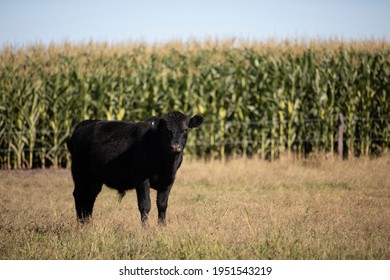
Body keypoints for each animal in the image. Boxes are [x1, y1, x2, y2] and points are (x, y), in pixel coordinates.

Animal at [66, 111, 204, 225]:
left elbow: (162, 205)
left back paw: (87, 223)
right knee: (79, 195)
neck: (166, 164)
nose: (175, 147)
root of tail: (85, 123)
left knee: (90, 196)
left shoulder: (169, 180)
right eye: (166, 130)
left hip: (94, 179)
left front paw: (162, 227)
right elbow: (145, 205)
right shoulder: (141, 178)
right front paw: (145, 229)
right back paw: (80, 224)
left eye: (185, 130)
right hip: (80, 173)